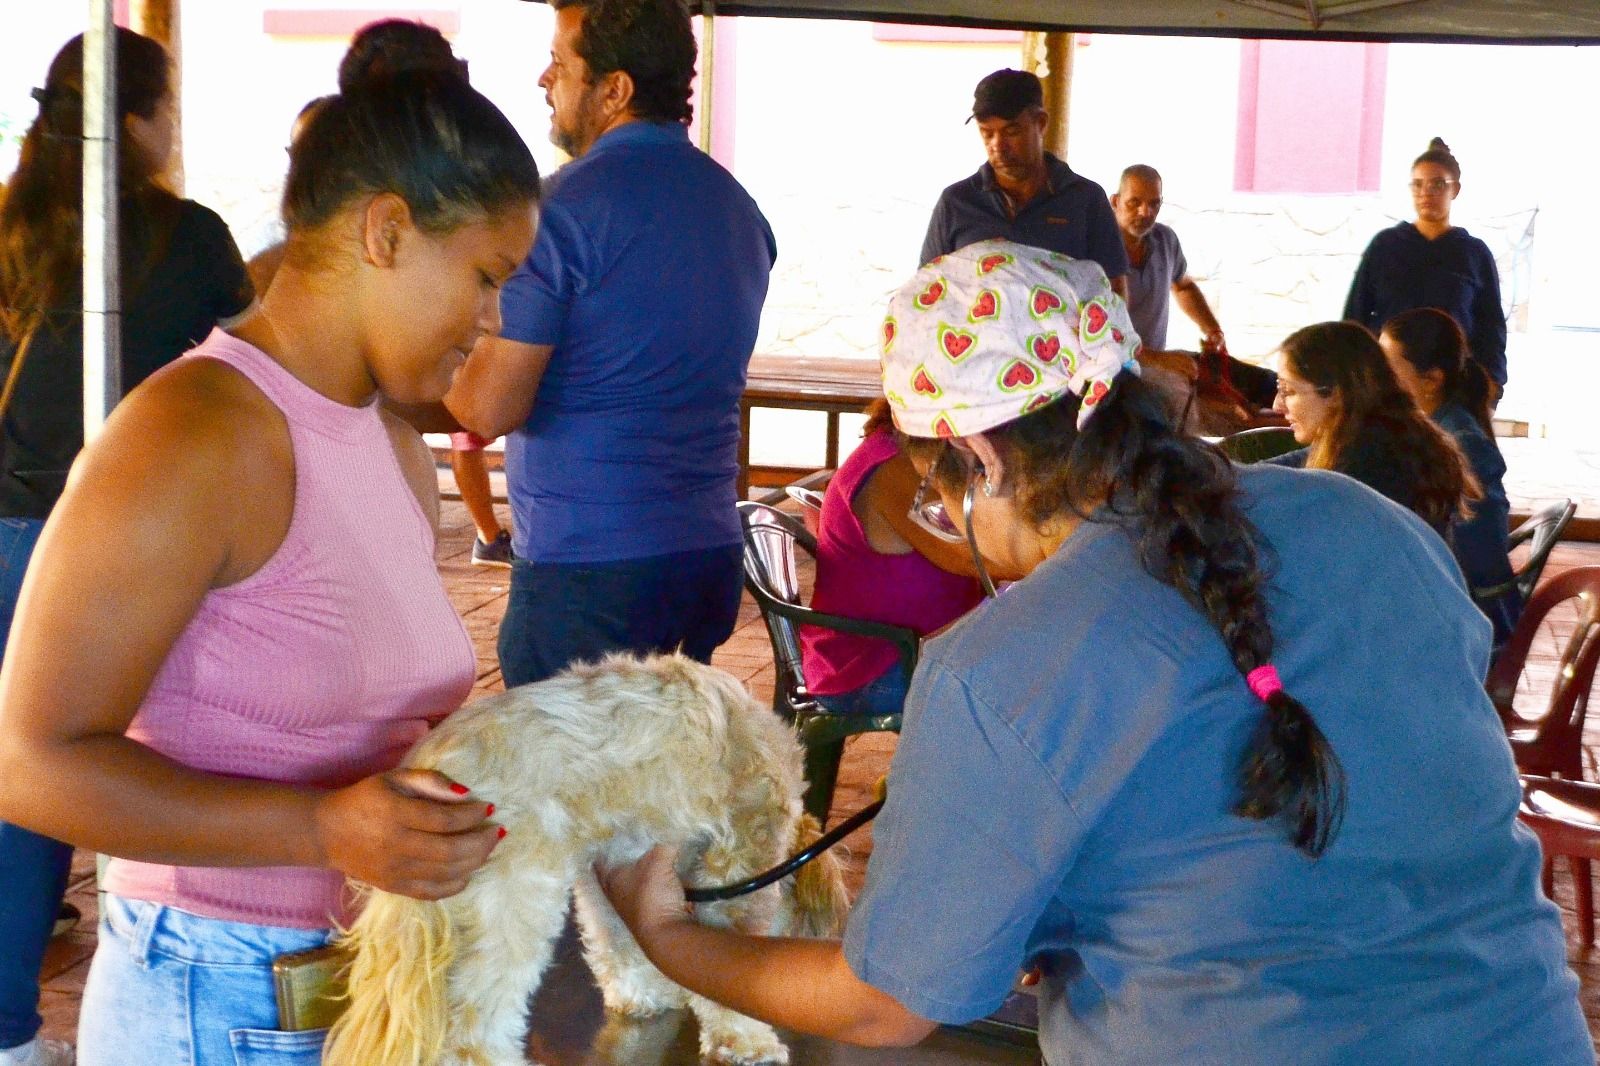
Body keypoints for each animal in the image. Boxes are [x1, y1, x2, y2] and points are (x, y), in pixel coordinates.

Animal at [321, 646, 851, 1062]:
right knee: (471, 1035)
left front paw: (642, 994)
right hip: (514, 903)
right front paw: (746, 1039)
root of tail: (435, 760)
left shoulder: (612, 865)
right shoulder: (737, 861)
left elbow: (620, 940)